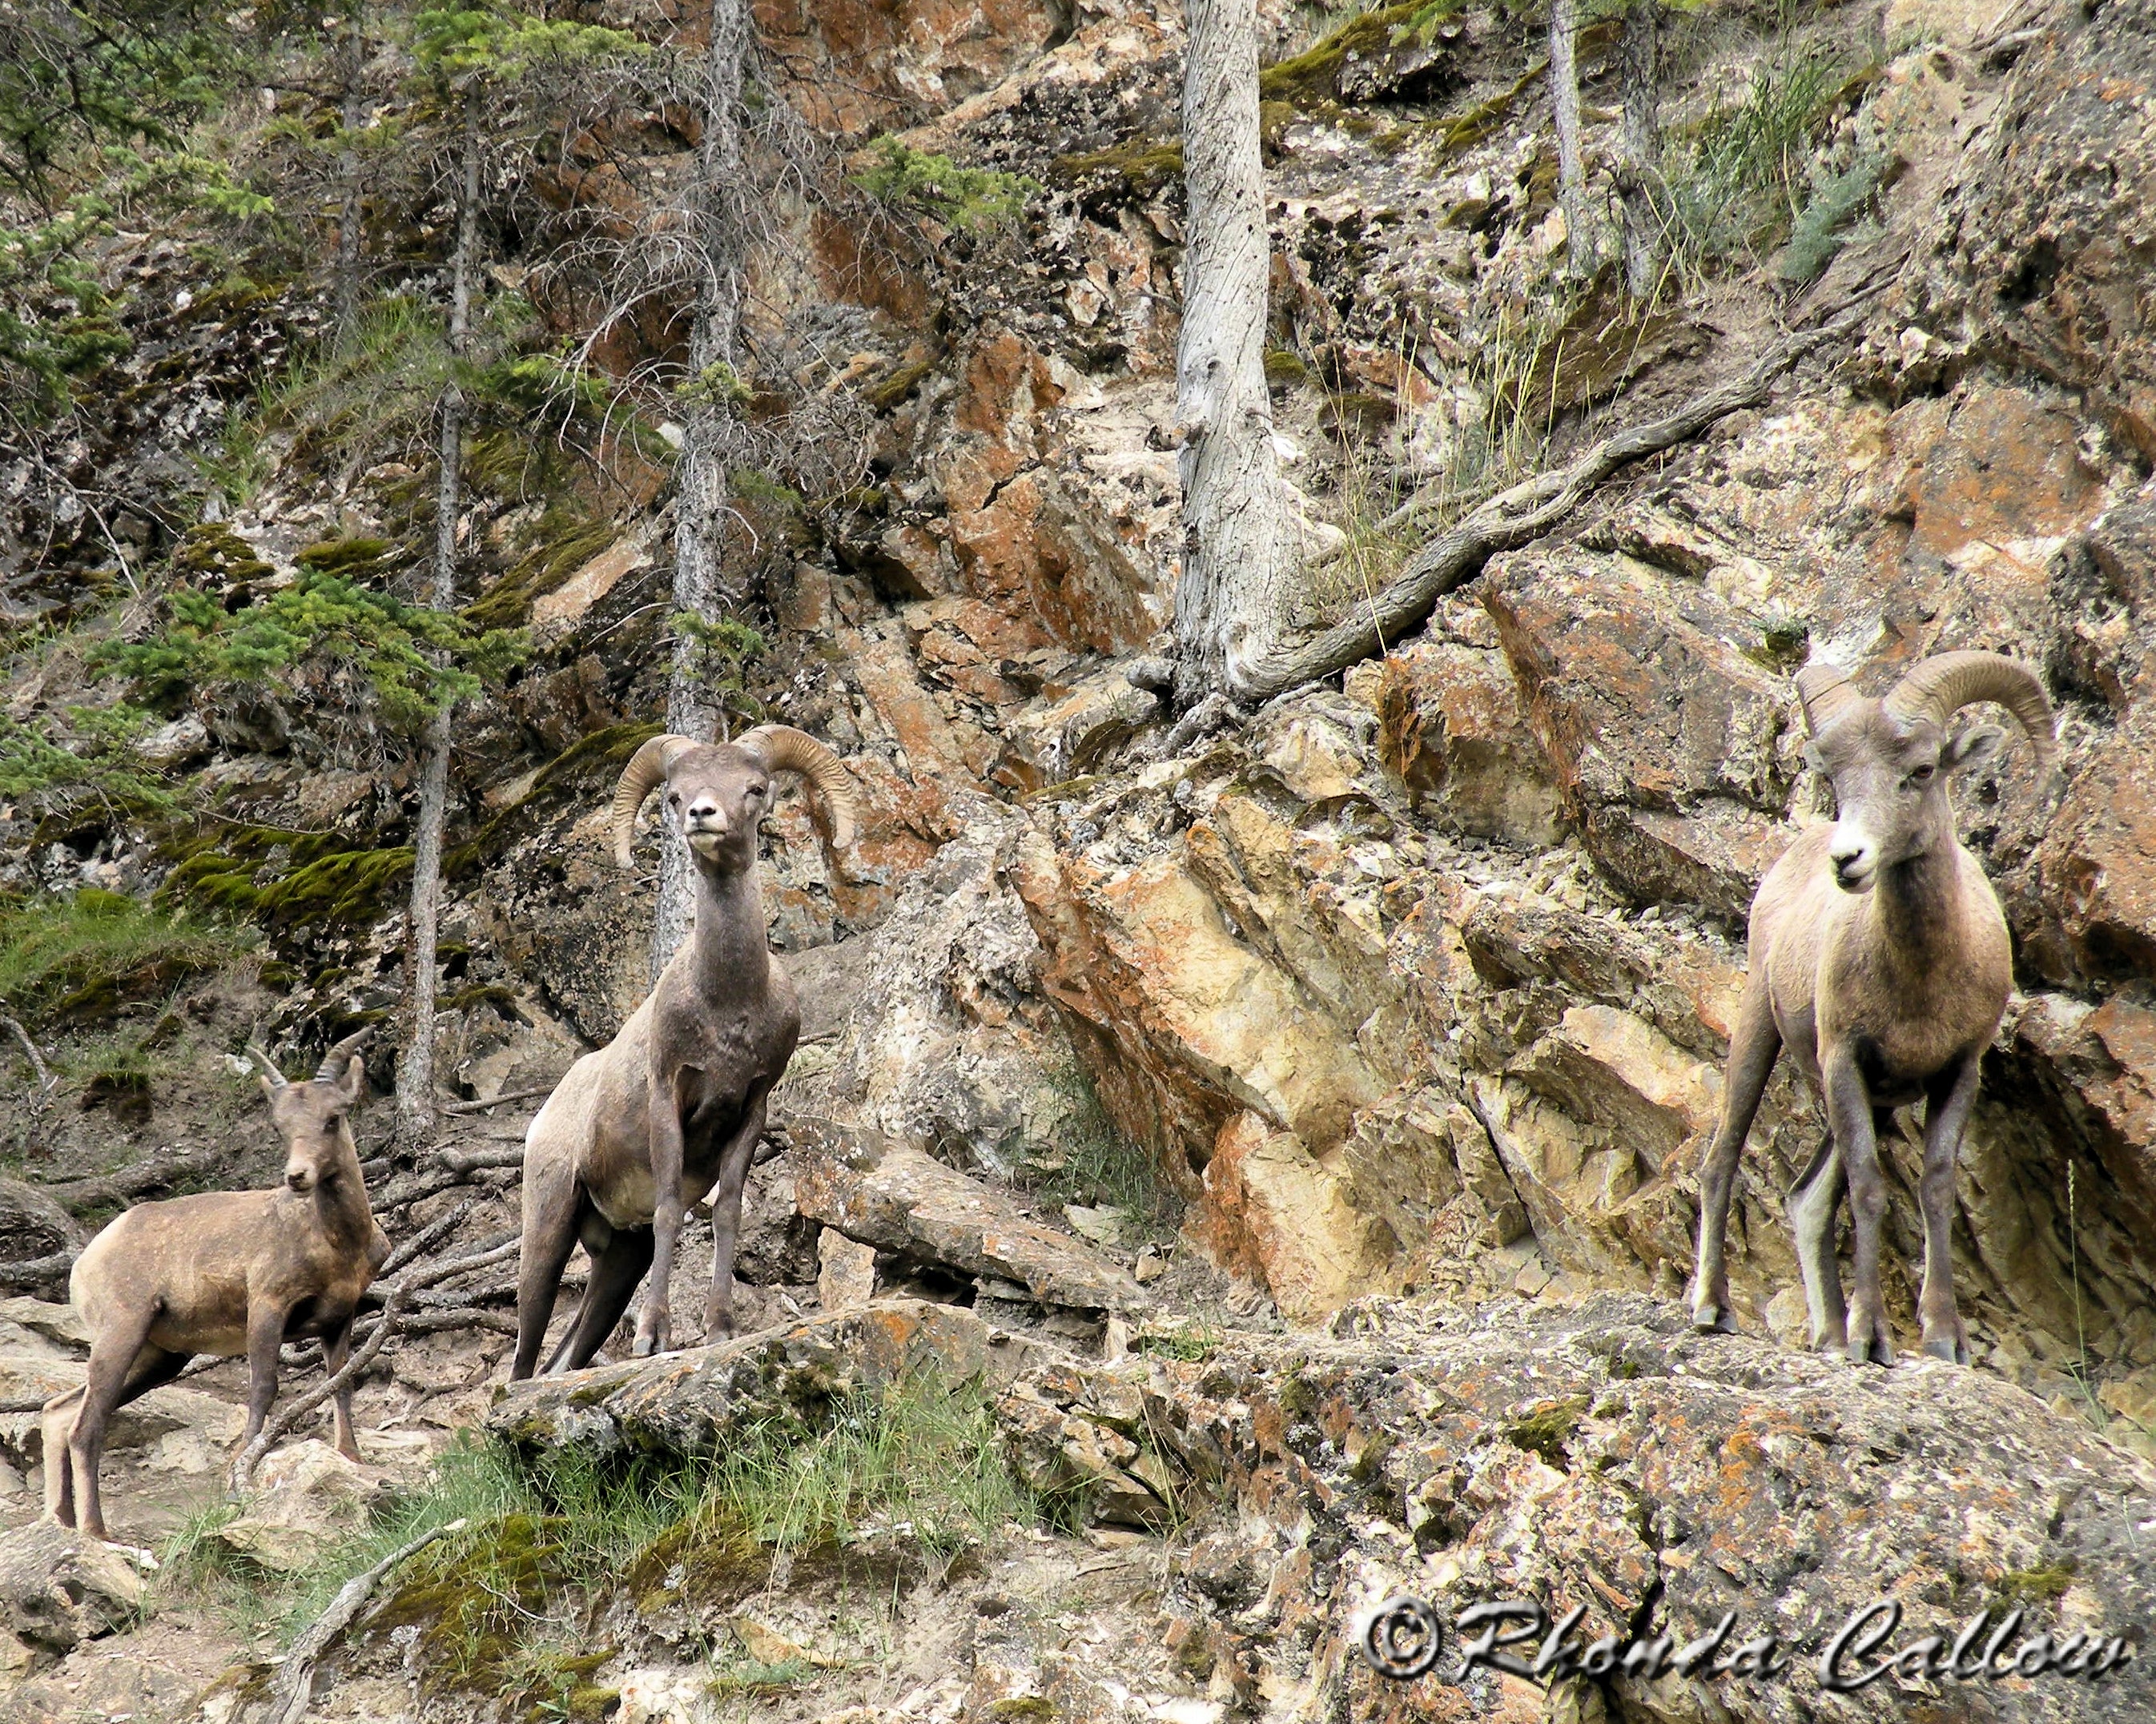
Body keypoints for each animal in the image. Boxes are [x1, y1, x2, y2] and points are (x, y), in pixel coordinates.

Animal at [45, 1030, 392, 1542]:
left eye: (333, 1118)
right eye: (281, 1126)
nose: (297, 1176)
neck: (335, 1244)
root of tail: (86, 1263)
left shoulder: (339, 1317)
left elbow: (341, 1383)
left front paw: (351, 1456)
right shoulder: (267, 1307)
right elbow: (264, 1387)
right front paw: (237, 1474)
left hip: (159, 1357)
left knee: (59, 1413)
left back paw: (64, 1522)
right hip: (122, 1333)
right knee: (84, 1428)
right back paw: (96, 1531)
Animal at [513, 724, 858, 1370]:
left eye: (753, 787)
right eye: (674, 795)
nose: (702, 814)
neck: (727, 1006)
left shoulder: (751, 1110)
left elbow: (726, 1213)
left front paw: (719, 1328)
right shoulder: (668, 1101)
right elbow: (672, 1209)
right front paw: (654, 1337)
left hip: (619, 1262)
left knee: (565, 1356)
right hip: (548, 1227)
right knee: (524, 1355)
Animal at [1681, 655, 2052, 1370]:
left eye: (1922, 770)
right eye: (1836, 778)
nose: (1847, 860)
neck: (1922, 980)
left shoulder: (1958, 1072)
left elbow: (1934, 1186)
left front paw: (1943, 1339)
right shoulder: (1844, 1061)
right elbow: (1870, 1187)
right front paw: (1872, 1338)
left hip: (1873, 1101)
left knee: (1806, 1198)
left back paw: (1826, 1334)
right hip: (1761, 1032)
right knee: (1722, 1159)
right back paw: (1715, 1309)